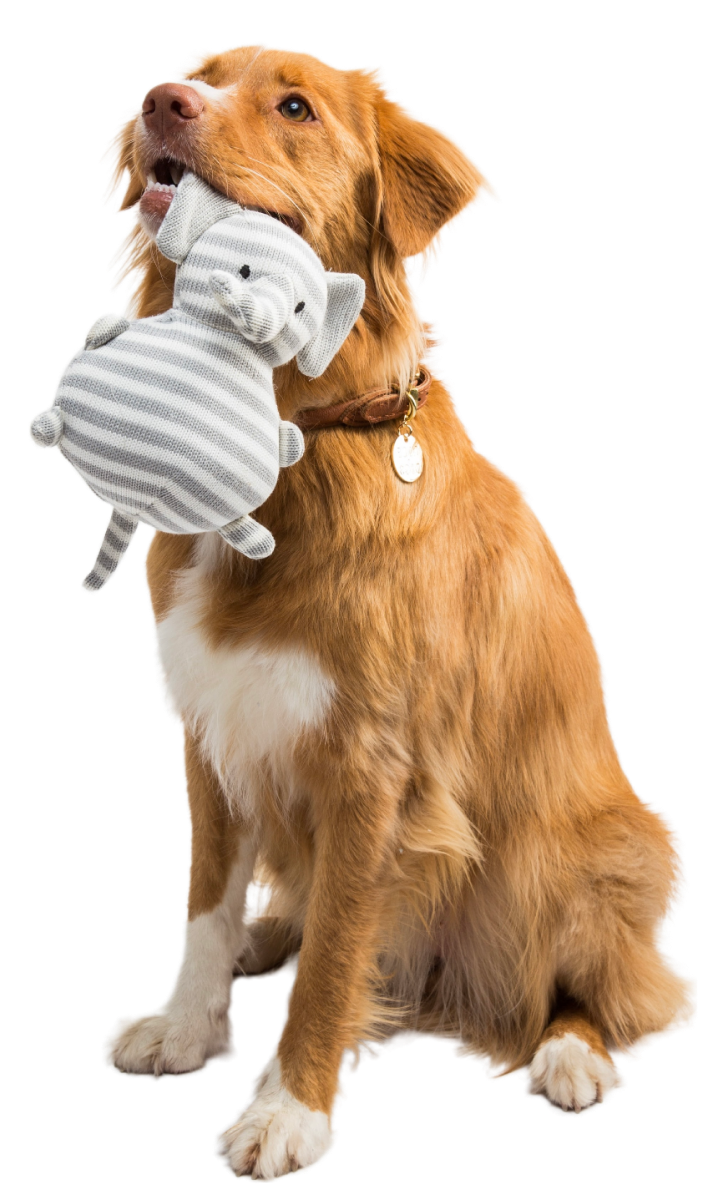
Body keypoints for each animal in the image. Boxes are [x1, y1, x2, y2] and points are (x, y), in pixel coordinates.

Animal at [97, 44, 697, 1174]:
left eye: (294, 107)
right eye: (197, 73)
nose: (162, 103)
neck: (285, 436)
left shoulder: (371, 768)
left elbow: (338, 951)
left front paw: (285, 1107)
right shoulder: (209, 730)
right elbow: (205, 900)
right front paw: (188, 1025)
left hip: (596, 845)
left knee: (613, 986)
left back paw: (570, 1057)